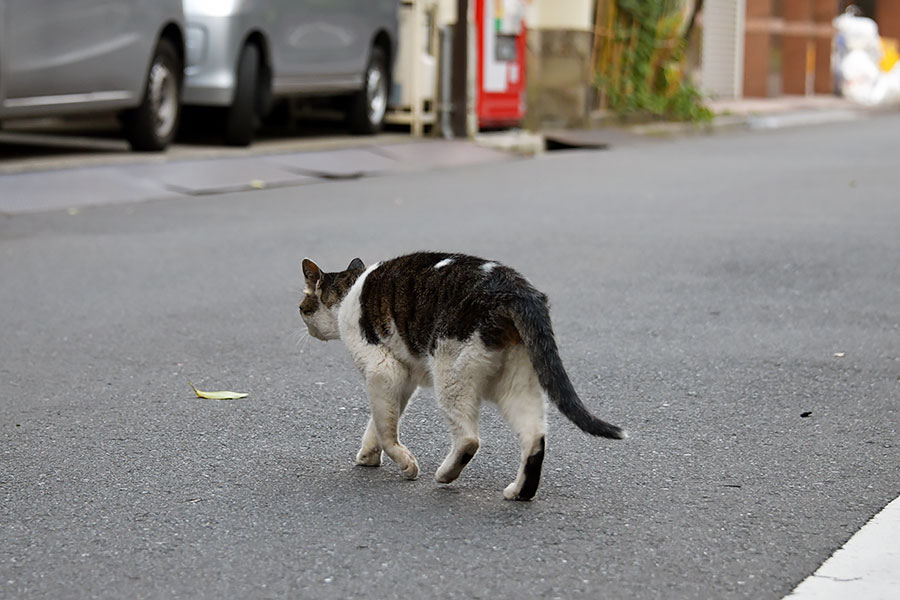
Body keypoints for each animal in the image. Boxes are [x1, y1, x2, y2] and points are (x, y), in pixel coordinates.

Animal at [298, 251, 624, 500]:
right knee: (535, 437)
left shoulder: (383, 371)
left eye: (302, 308)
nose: (303, 323)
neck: (349, 290)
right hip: (517, 382)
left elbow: (387, 428)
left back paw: (445, 474)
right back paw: (519, 492)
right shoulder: (405, 377)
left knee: (469, 439)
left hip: (451, 375)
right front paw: (368, 455)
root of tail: (517, 288)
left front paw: (405, 464)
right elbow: (380, 421)